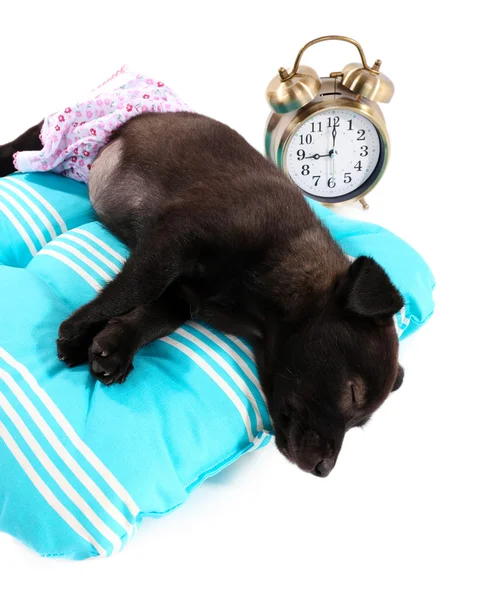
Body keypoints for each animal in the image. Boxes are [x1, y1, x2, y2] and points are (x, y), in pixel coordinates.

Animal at [0, 113, 402, 478]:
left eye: (359, 422)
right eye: (352, 392)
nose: (325, 470)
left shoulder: (184, 292)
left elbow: (156, 318)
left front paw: (114, 346)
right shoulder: (174, 239)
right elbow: (137, 285)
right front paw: (78, 331)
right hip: (63, 134)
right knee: (24, 144)